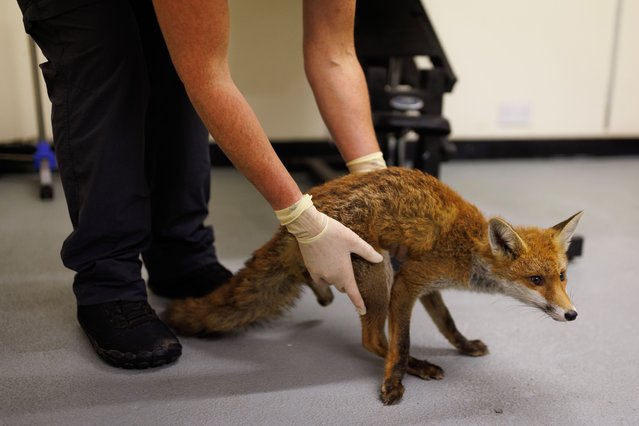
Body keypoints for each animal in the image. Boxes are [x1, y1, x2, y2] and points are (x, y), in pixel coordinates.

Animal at [166, 165, 584, 404]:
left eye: (562, 276)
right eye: (535, 280)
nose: (572, 314)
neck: (468, 248)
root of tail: (294, 223)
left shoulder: (425, 284)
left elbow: (448, 324)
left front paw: (464, 346)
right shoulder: (406, 282)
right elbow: (401, 342)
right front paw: (395, 380)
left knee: (306, 276)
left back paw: (320, 291)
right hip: (378, 270)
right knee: (371, 340)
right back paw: (416, 367)